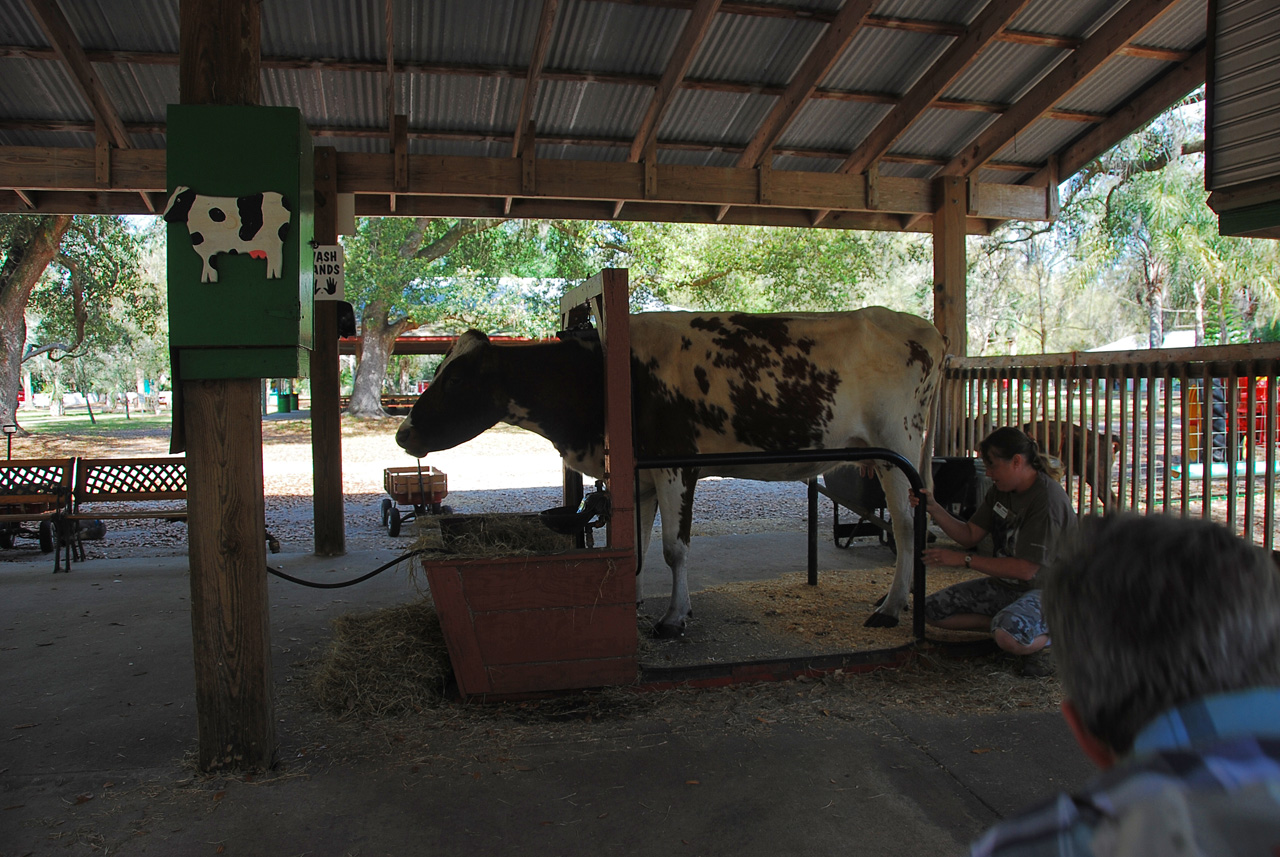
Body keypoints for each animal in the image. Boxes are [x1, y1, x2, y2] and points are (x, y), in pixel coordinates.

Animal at [394, 309, 947, 636]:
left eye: (456, 379)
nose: (402, 434)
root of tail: (925, 329)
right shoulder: (638, 478)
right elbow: (635, 545)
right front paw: (631, 603)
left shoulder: (675, 464)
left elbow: (672, 548)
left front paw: (674, 618)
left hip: (898, 448)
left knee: (904, 527)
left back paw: (890, 608)